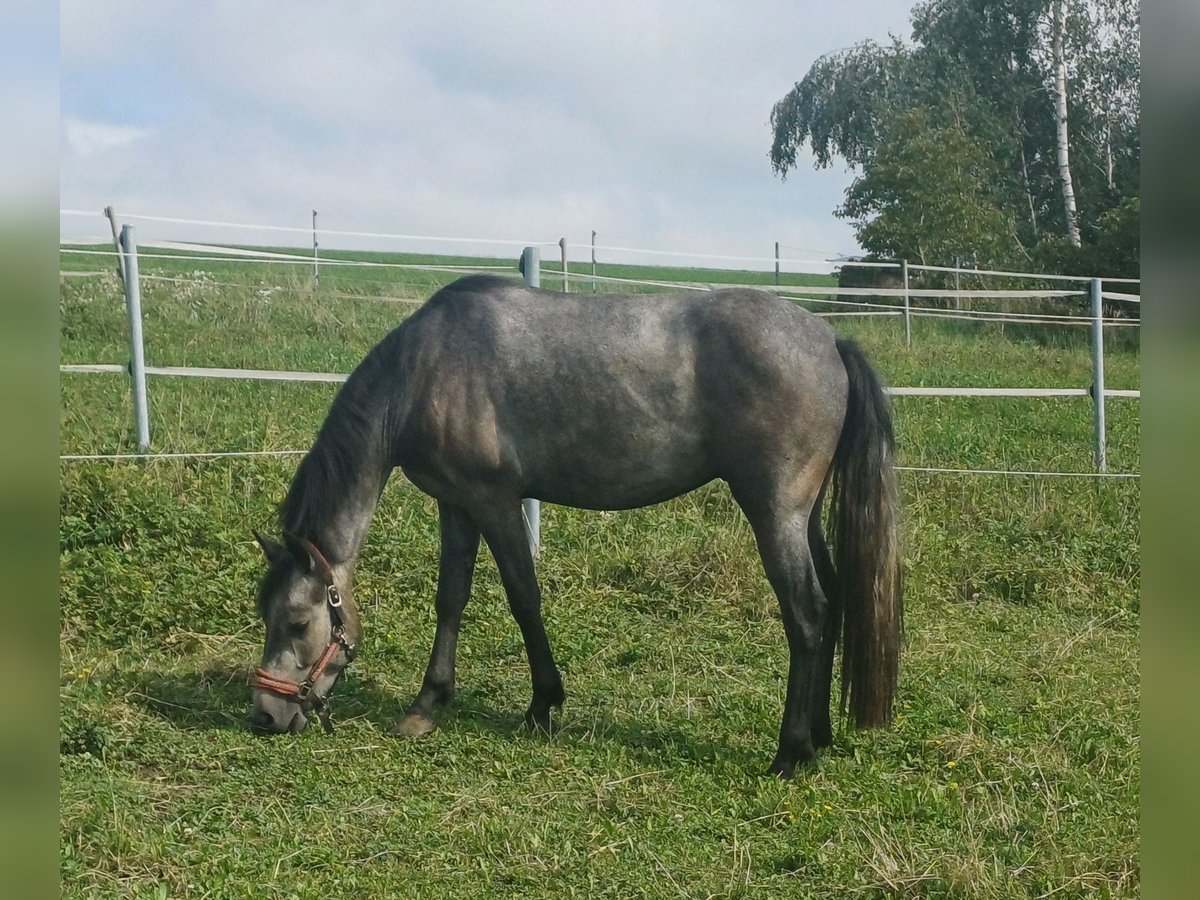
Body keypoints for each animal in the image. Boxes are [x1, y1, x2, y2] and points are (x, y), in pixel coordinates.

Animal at [250, 271, 902, 777]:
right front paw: (427, 704)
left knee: (808, 613)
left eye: (298, 621)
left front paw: (542, 704)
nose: (264, 715)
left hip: (774, 513)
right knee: (835, 599)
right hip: (802, 516)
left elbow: (523, 596)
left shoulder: (494, 501)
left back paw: (790, 753)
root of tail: (830, 339)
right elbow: (451, 598)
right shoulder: (455, 504)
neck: (426, 369)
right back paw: (820, 736)